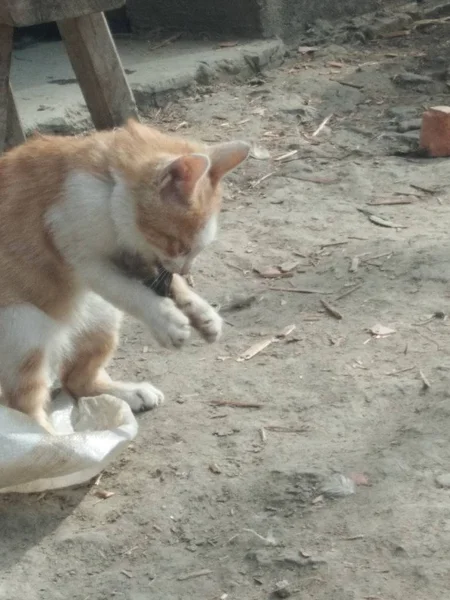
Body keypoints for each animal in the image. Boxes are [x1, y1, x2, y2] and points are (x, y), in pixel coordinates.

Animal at [0, 120, 250, 432]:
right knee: (24, 408)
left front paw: (203, 313)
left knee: (75, 381)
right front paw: (165, 320)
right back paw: (50, 440)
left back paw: (127, 393)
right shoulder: (85, 259)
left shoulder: (144, 261)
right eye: (180, 246)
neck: (109, 195)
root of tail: (63, 331)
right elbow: (131, 292)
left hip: (101, 315)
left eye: (195, 251)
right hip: (22, 329)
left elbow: (166, 284)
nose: (186, 270)